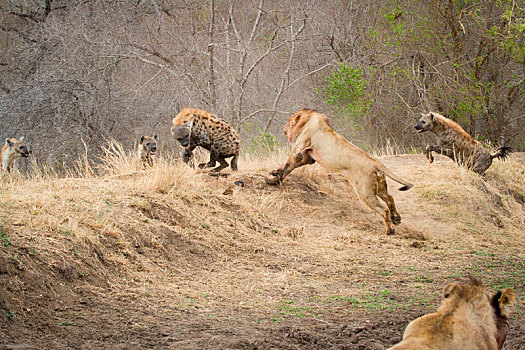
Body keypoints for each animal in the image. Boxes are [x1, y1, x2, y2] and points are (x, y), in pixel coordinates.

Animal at [266, 109, 414, 235]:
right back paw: (396, 218)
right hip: (379, 188)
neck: (311, 117)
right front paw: (275, 173)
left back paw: (390, 230)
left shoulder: (300, 147)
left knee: (383, 209)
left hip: (365, 193)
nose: (283, 129)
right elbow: (287, 166)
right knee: (390, 198)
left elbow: (288, 164)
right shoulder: (308, 157)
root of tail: (375, 162)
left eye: (288, 121)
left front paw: (273, 180)